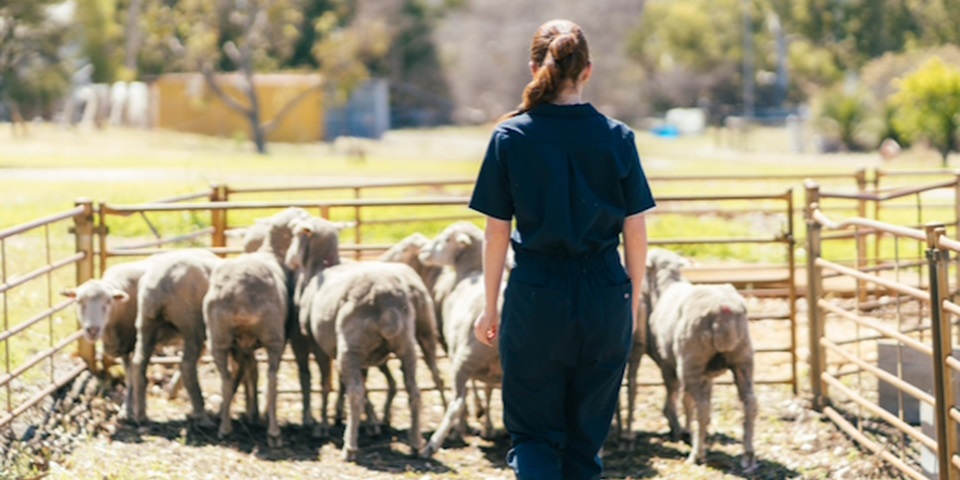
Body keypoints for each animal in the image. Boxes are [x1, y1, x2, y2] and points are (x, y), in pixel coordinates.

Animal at [61, 258, 150, 420]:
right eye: (79, 302)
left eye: (108, 301)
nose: (92, 330)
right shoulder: (123, 347)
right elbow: (129, 376)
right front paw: (127, 408)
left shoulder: (134, 342)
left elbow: (135, 374)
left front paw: (131, 409)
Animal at [288, 218, 428, 462]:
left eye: (295, 234)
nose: (289, 259)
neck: (321, 267)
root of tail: (386, 300)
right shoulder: (359, 354)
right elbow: (358, 384)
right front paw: (369, 421)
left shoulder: (320, 346)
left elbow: (327, 384)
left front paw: (323, 425)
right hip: (406, 346)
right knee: (414, 391)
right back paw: (416, 443)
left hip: (351, 347)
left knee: (355, 392)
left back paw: (350, 447)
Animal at [416, 221, 502, 458]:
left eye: (446, 238)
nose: (423, 252)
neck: (472, 272)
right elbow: (487, 391)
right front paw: (486, 424)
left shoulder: (456, 350)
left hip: (464, 358)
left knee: (457, 401)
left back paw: (435, 443)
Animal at [644, 249, 756, 470]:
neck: (665, 286)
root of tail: (724, 311)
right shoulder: (708, 373)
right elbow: (689, 400)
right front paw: (689, 429)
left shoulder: (668, 363)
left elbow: (676, 394)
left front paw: (680, 428)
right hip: (743, 358)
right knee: (750, 403)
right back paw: (748, 456)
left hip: (691, 360)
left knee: (702, 408)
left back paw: (697, 455)